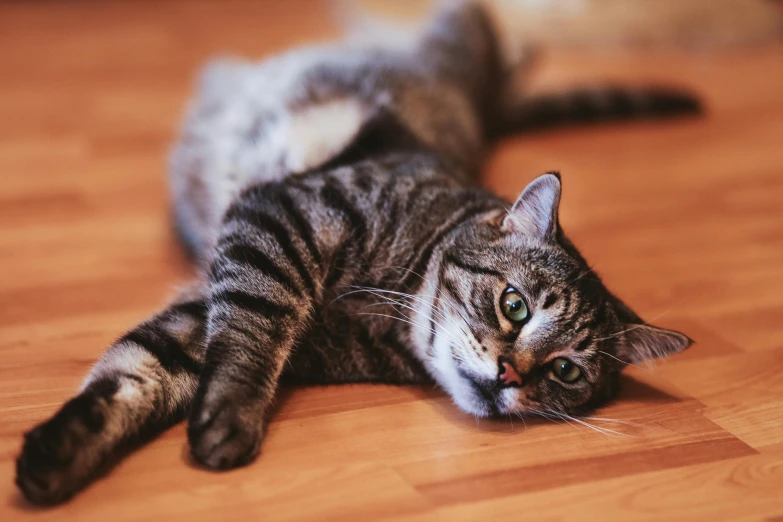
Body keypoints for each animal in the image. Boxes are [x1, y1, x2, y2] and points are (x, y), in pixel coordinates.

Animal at [15, 0, 696, 504]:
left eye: (566, 372)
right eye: (514, 306)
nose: (510, 376)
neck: (386, 314)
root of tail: (485, 114)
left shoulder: (212, 310)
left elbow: (139, 372)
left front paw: (59, 455)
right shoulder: (280, 219)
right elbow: (248, 335)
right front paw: (232, 416)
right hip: (459, 30)